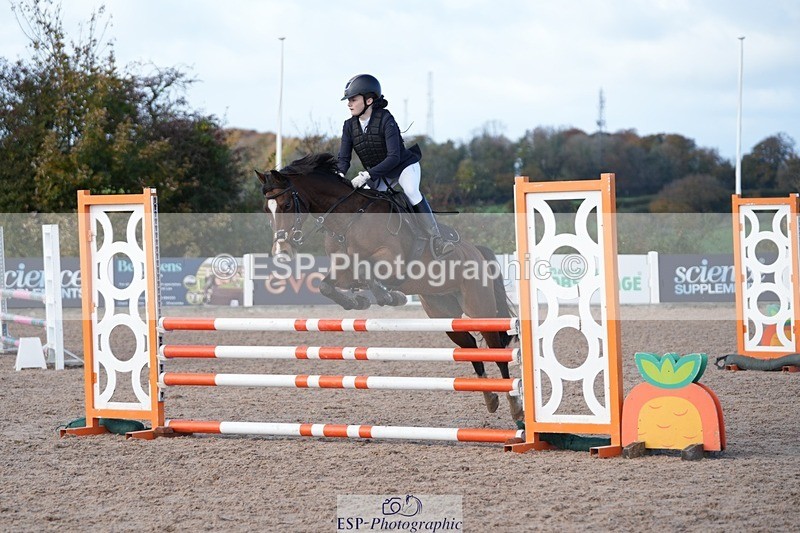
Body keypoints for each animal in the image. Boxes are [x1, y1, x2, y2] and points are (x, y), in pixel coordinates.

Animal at [255, 153, 523, 426]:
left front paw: (388, 296)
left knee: (497, 350)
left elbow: (367, 272)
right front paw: (358, 301)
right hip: (443, 311)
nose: (281, 252)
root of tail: (476, 251)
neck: (347, 220)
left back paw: (517, 410)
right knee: (469, 345)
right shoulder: (343, 268)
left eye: (287, 205)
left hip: (479, 308)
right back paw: (490, 398)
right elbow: (327, 285)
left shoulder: (390, 262)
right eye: (267, 209)